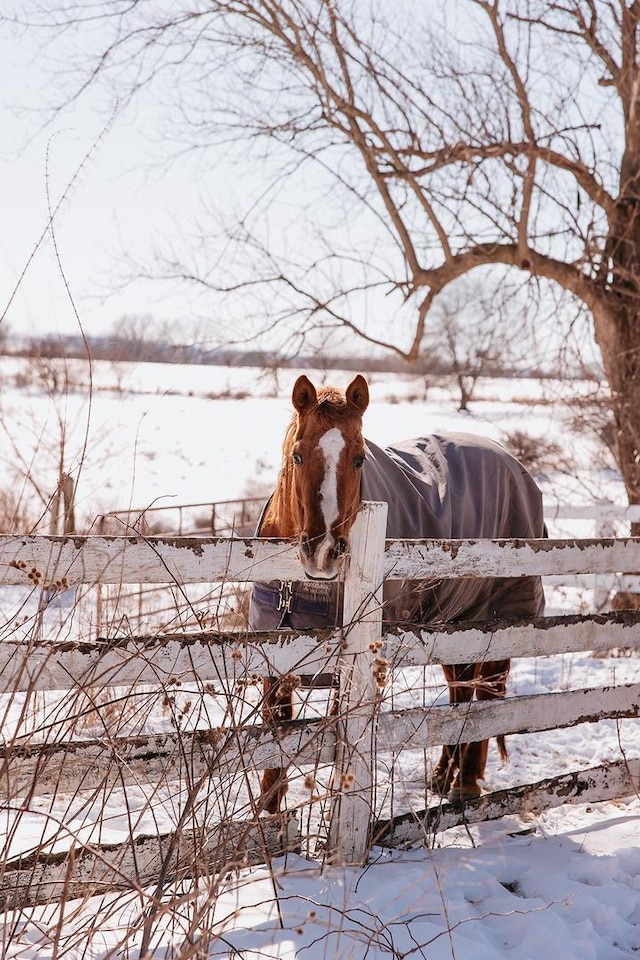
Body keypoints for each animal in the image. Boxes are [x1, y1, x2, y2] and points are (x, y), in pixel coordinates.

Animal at [250, 372, 544, 812]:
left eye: (359, 459)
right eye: (297, 456)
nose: (323, 552)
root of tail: (515, 465)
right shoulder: (274, 657)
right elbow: (274, 749)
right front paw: (267, 822)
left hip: (497, 622)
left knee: (487, 700)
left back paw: (466, 783)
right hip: (454, 626)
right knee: (460, 695)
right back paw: (442, 775)